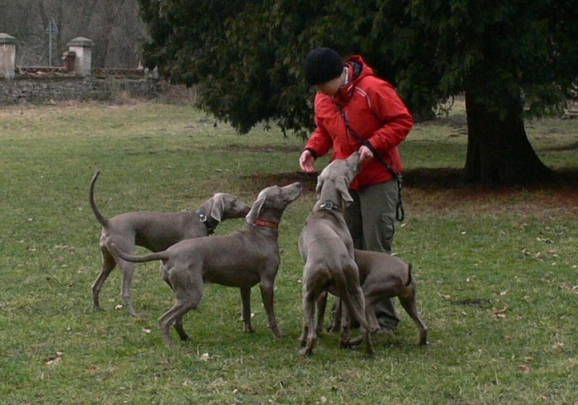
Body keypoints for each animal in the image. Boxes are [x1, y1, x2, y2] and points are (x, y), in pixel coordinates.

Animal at [89, 170, 251, 317]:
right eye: (235, 200)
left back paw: (97, 308)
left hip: (109, 259)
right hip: (127, 259)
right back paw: (136, 314)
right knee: (125, 292)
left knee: (95, 285)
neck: (202, 218)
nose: (250, 208)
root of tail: (108, 222)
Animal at [110, 182, 302, 347]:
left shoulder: (244, 285)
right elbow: (271, 314)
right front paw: (278, 334)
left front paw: (249, 330)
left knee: (177, 320)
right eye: (279, 189)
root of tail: (168, 253)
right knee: (164, 320)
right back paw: (170, 345)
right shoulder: (267, 282)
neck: (261, 231)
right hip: (192, 293)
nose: (299, 184)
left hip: (182, 293)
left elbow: (246, 311)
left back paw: (185, 337)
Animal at [298, 152, 377, 356]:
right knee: (362, 327)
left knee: (310, 332)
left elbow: (311, 321)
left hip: (307, 292)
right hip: (356, 289)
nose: (358, 153)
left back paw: (305, 349)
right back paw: (361, 347)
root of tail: (333, 262)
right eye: (346, 164)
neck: (327, 207)